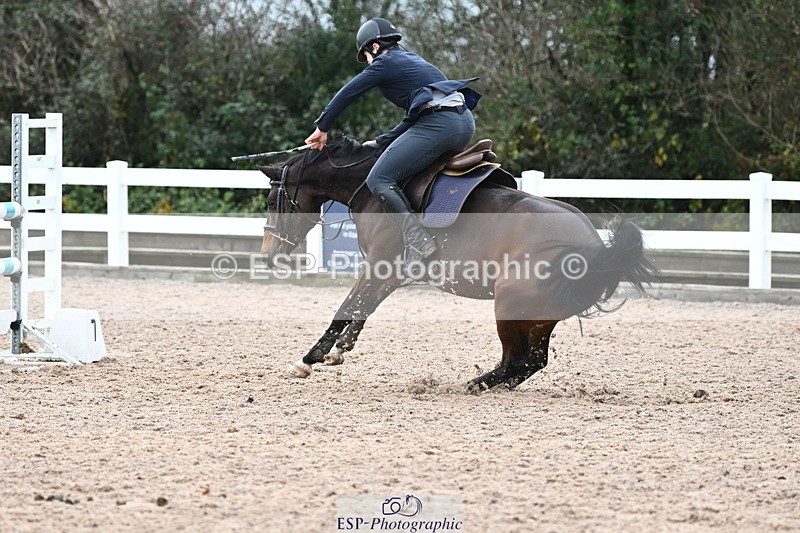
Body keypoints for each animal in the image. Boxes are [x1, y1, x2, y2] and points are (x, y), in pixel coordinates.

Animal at [257, 135, 657, 392]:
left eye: (272, 200)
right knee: (531, 361)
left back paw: (471, 385)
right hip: (540, 317)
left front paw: (309, 359)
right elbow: (363, 308)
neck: (374, 189)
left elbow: (346, 307)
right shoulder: (389, 272)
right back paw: (486, 385)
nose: (268, 254)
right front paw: (340, 349)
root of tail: (595, 246)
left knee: (517, 359)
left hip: (509, 304)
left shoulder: (377, 264)